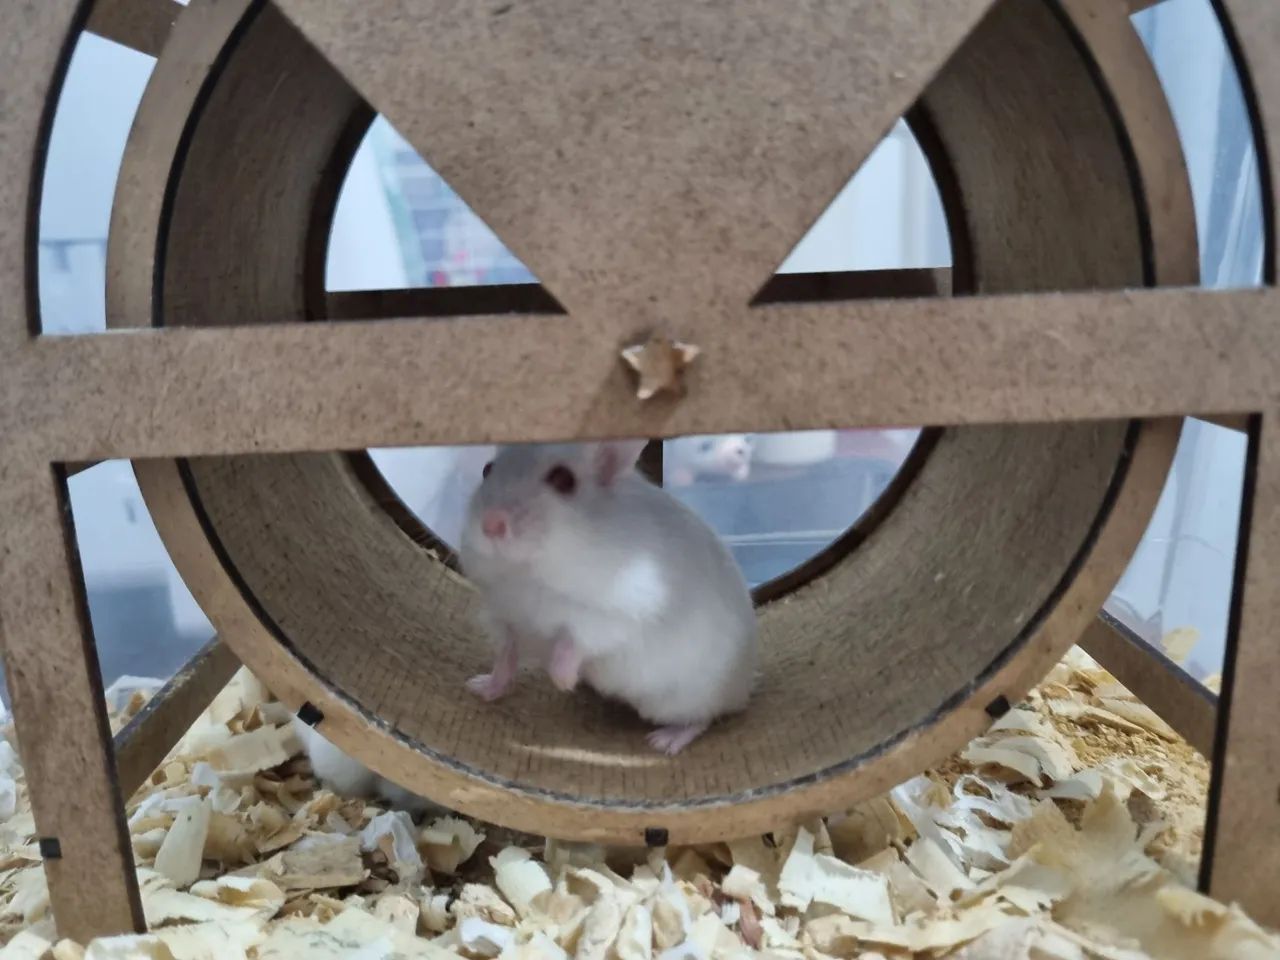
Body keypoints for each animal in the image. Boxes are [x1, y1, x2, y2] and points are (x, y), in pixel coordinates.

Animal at [459, 440, 758, 755]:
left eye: (563, 480)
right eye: (486, 470)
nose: (491, 524)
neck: (527, 573)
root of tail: (745, 685)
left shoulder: (611, 617)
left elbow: (572, 642)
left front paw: (563, 682)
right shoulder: (504, 616)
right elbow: (505, 658)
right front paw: (478, 687)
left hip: (684, 698)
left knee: (703, 719)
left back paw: (663, 742)